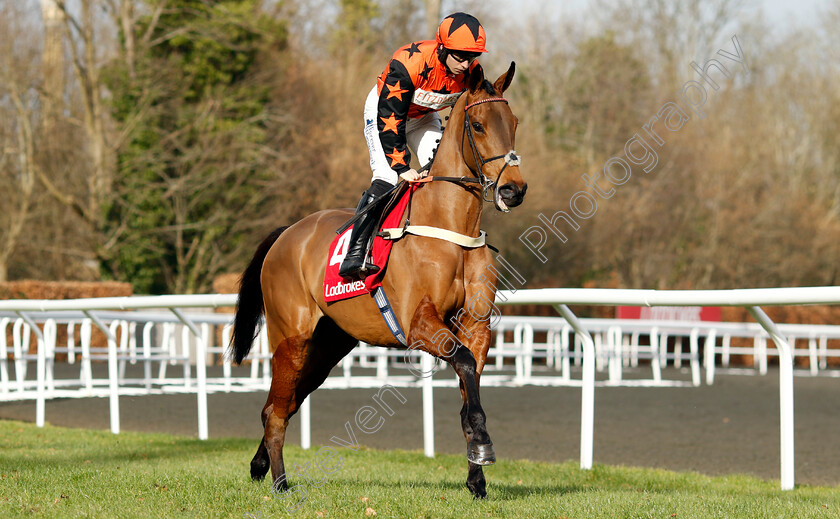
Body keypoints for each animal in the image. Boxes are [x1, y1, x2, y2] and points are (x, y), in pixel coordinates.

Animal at [231, 62, 524, 500]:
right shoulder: (418, 326)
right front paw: (483, 445)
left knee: (281, 404)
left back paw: (260, 466)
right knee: (278, 410)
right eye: (478, 124)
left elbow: (468, 376)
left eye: (514, 122)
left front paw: (476, 474)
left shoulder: (476, 327)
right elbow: (463, 364)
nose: (514, 189)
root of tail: (286, 234)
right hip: (291, 337)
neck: (451, 228)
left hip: (329, 344)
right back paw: (281, 484)